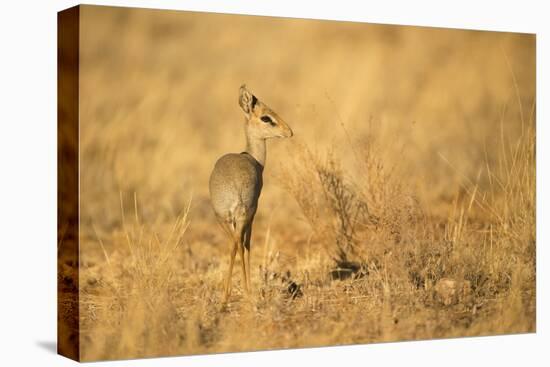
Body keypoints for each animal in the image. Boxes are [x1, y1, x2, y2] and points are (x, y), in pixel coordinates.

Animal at [210, 85, 296, 304]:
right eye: (266, 117)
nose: (289, 132)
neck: (253, 158)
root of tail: (235, 192)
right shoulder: (254, 213)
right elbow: (248, 244)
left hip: (223, 220)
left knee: (233, 244)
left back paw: (225, 297)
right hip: (244, 216)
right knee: (240, 245)